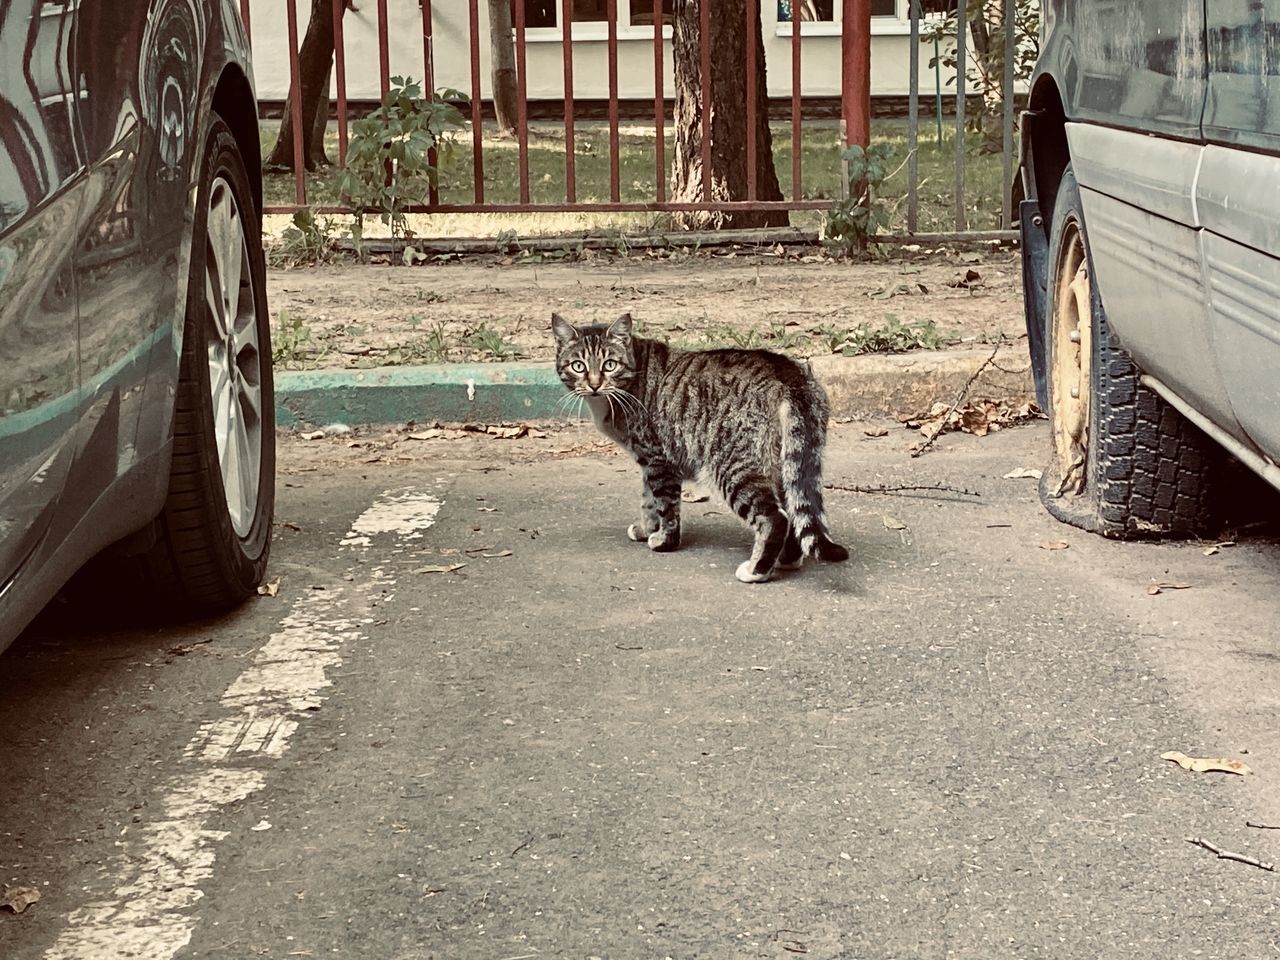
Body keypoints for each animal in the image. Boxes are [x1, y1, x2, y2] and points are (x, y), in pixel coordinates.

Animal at [550, 316, 849, 586]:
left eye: (609, 365)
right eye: (578, 366)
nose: (594, 384)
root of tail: (786, 372)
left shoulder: (659, 459)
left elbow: (665, 506)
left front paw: (663, 541)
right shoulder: (647, 462)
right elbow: (648, 501)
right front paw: (647, 529)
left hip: (732, 466)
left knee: (775, 518)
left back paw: (756, 571)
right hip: (784, 464)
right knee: (793, 509)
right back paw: (787, 559)